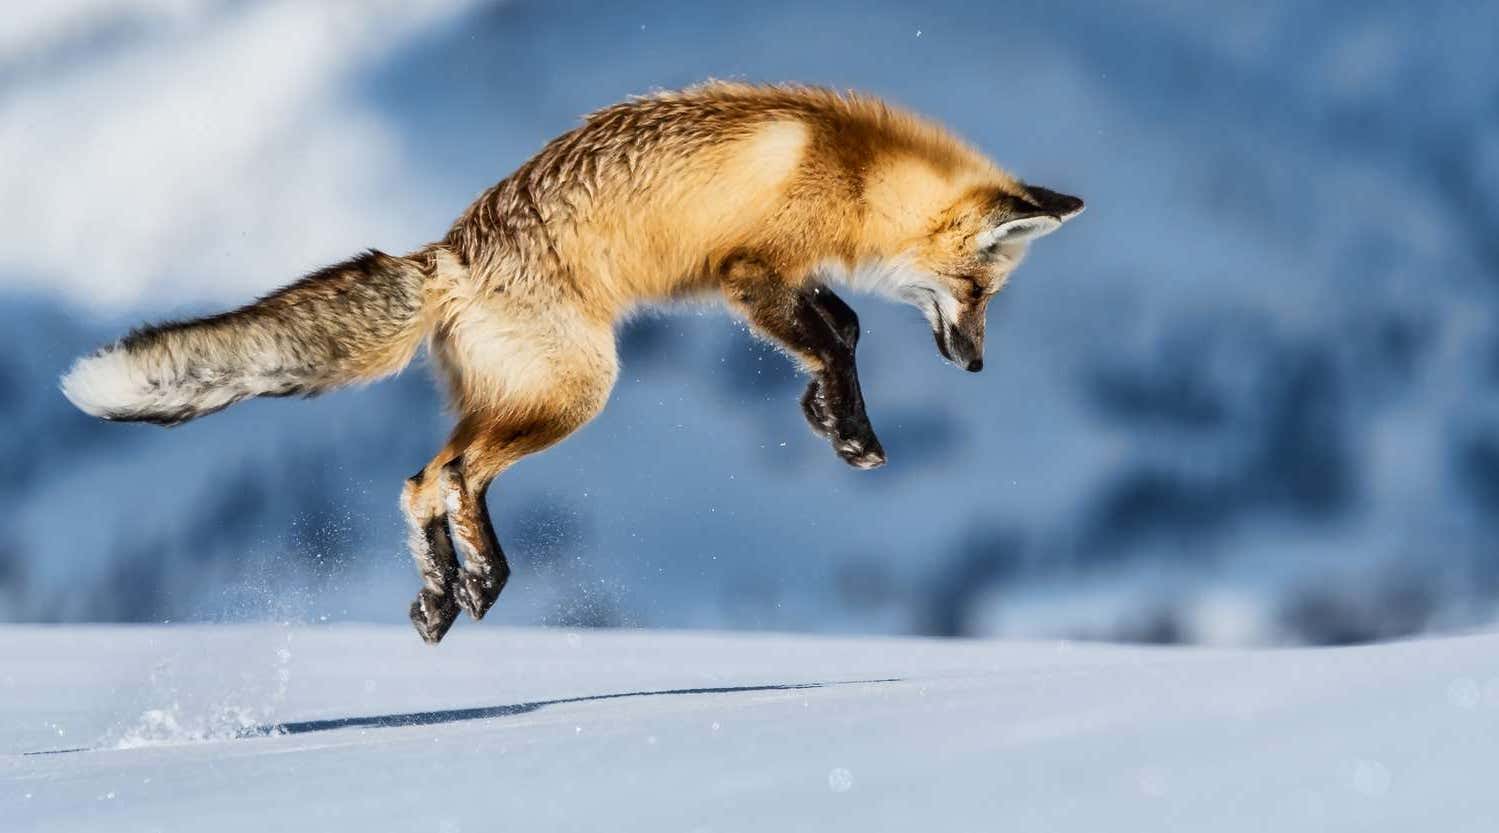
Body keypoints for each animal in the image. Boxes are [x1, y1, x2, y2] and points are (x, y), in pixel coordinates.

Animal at [60, 83, 1083, 644]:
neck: (851, 167)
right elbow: (839, 333)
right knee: (454, 475)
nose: (975, 366)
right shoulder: (749, 273)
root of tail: (447, 254)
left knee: (419, 481)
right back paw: (482, 578)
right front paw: (850, 430)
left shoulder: (776, 280)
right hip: (575, 392)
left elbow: (841, 328)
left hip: (515, 395)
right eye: (979, 289)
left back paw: (442, 594)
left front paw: (828, 419)